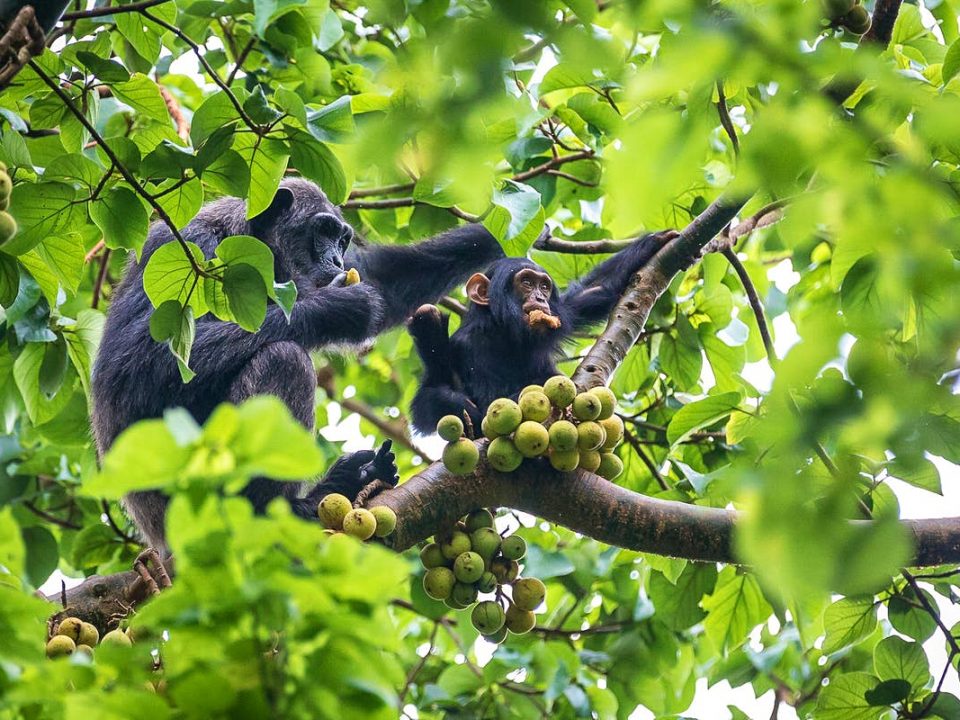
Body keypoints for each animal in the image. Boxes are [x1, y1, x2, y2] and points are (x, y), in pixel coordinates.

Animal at [94, 177, 506, 548]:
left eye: (343, 240)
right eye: (323, 231)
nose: (337, 258)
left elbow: (384, 280)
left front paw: (492, 236)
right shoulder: (184, 248)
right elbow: (137, 363)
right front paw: (336, 306)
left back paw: (351, 478)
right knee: (284, 359)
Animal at [408, 231, 680, 434]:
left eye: (545, 286)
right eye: (526, 282)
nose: (540, 298)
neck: (507, 333)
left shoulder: (565, 312)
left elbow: (595, 290)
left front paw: (654, 241)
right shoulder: (469, 347)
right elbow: (489, 403)